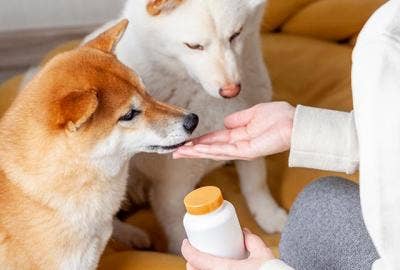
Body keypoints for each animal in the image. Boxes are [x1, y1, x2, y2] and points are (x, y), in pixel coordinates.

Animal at [85, 0, 288, 253]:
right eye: (194, 46)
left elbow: (256, 183)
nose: (231, 90)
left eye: (236, 35)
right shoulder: (172, 187)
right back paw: (131, 234)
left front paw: (269, 215)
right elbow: (177, 228)